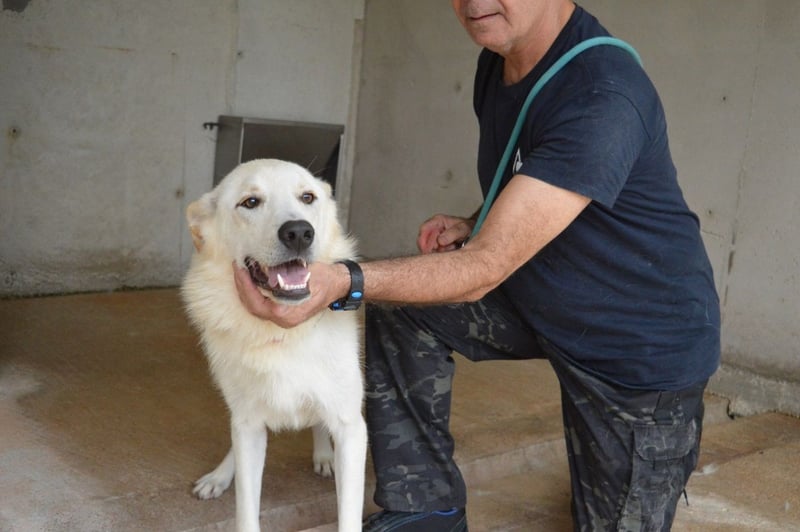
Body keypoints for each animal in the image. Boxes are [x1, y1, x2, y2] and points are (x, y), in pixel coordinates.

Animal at [181, 159, 367, 532]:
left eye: (307, 197)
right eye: (250, 202)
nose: (299, 233)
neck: (281, 333)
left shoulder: (352, 427)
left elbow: (349, 517)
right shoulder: (249, 426)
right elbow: (246, 512)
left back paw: (324, 454)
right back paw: (221, 475)